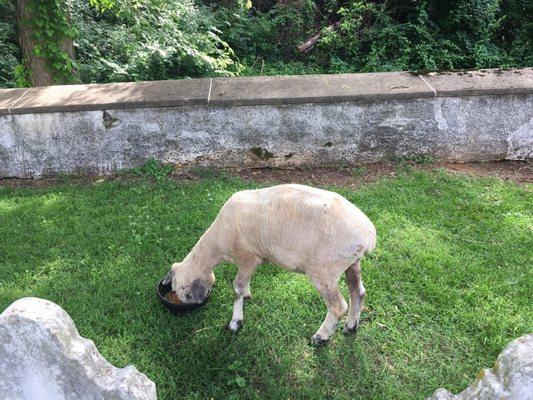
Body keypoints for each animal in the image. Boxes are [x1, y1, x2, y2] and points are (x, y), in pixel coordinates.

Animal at [162, 184, 374, 344]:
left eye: (185, 294)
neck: (217, 245)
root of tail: (368, 235)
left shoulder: (248, 257)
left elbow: (237, 287)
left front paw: (235, 322)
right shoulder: (254, 258)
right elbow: (244, 284)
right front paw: (247, 295)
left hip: (324, 271)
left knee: (338, 306)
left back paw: (321, 337)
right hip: (351, 263)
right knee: (358, 292)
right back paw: (351, 326)